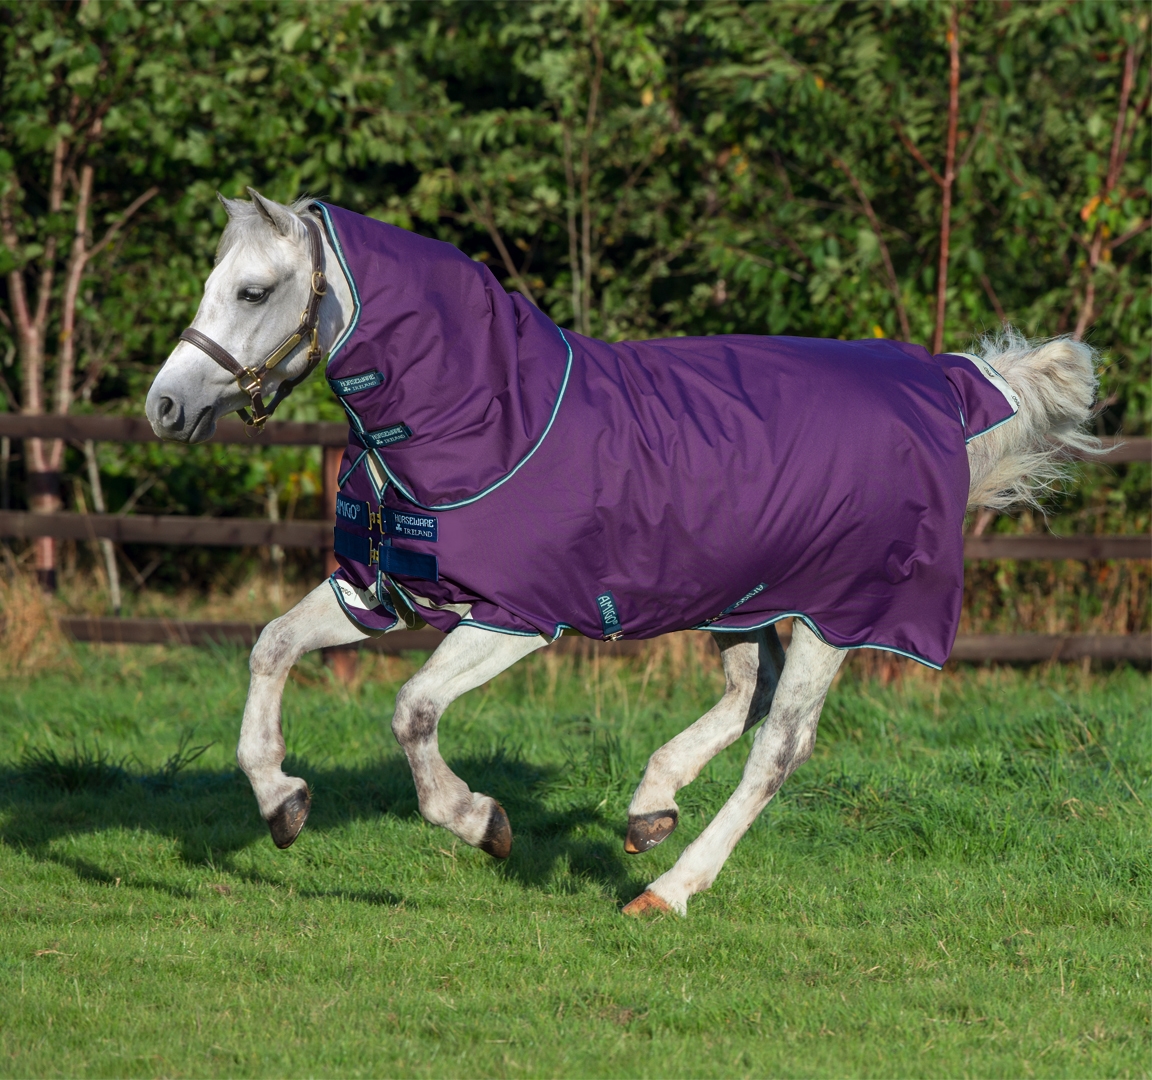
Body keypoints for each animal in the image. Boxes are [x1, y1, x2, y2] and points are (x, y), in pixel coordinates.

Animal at [146, 190, 1099, 916]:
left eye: (254, 291)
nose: (163, 406)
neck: (486, 411)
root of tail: (942, 389)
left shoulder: (518, 616)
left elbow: (413, 710)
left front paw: (480, 822)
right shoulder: (380, 591)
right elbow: (272, 645)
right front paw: (281, 801)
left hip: (837, 616)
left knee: (778, 749)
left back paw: (668, 890)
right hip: (738, 596)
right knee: (745, 696)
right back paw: (649, 809)